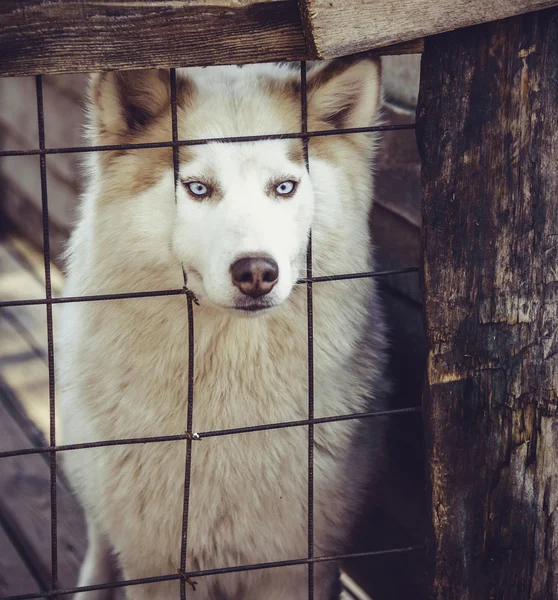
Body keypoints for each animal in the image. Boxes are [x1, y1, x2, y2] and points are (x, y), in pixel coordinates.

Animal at [58, 57, 390, 600]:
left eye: (284, 187)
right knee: (98, 544)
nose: (256, 271)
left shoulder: (295, 565)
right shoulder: (158, 563)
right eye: (198, 188)